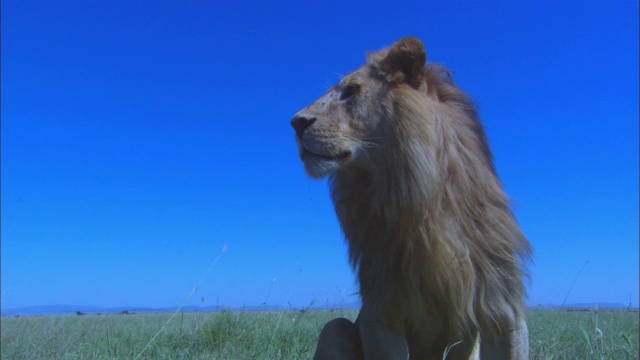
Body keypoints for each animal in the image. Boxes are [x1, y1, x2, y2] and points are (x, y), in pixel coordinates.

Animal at [292, 38, 532, 358]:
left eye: (352, 91)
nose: (296, 123)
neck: (425, 209)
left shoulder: (504, 310)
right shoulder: (381, 315)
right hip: (336, 328)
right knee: (336, 324)